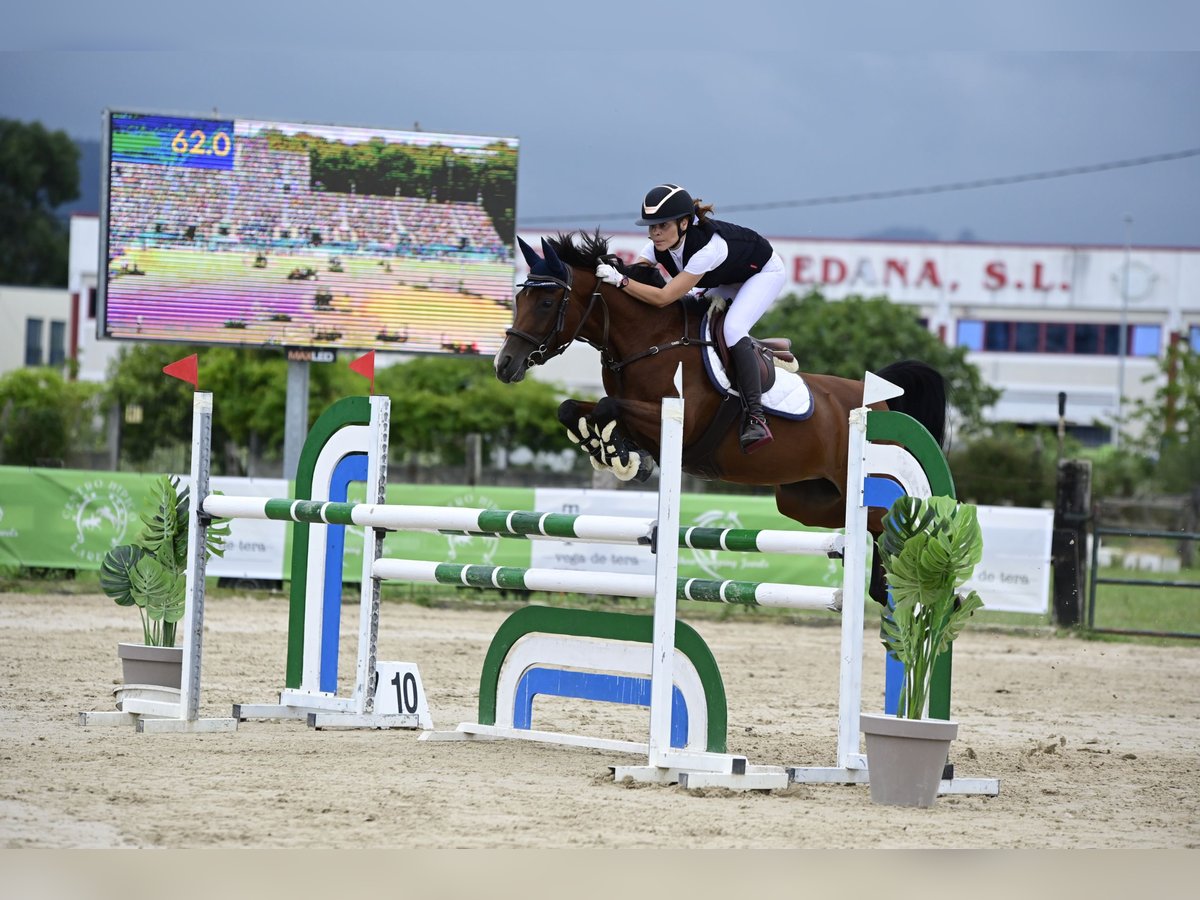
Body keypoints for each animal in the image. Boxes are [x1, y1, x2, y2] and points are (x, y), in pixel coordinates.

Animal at [492, 230, 950, 607]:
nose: (505, 365)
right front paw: (609, 450)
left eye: (547, 302)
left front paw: (624, 456)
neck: (650, 342)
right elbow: (572, 408)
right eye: (519, 299)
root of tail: (882, 405)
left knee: (897, 521)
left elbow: (608, 408)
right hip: (806, 500)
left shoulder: (680, 420)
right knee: (866, 530)